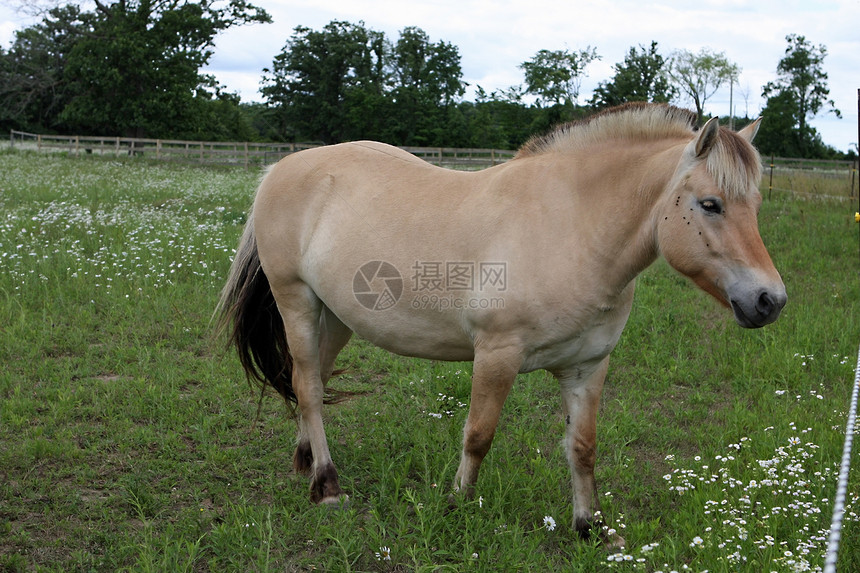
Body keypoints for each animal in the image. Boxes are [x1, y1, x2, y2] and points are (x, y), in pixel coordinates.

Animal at [217, 103, 788, 544]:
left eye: (757, 203)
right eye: (710, 204)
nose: (770, 301)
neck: (572, 229)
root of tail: (283, 168)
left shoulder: (588, 366)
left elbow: (582, 448)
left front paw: (590, 528)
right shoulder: (497, 355)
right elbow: (478, 434)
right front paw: (457, 505)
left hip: (334, 316)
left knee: (307, 379)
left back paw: (306, 461)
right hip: (296, 300)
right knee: (309, 387)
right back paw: (327, 486)